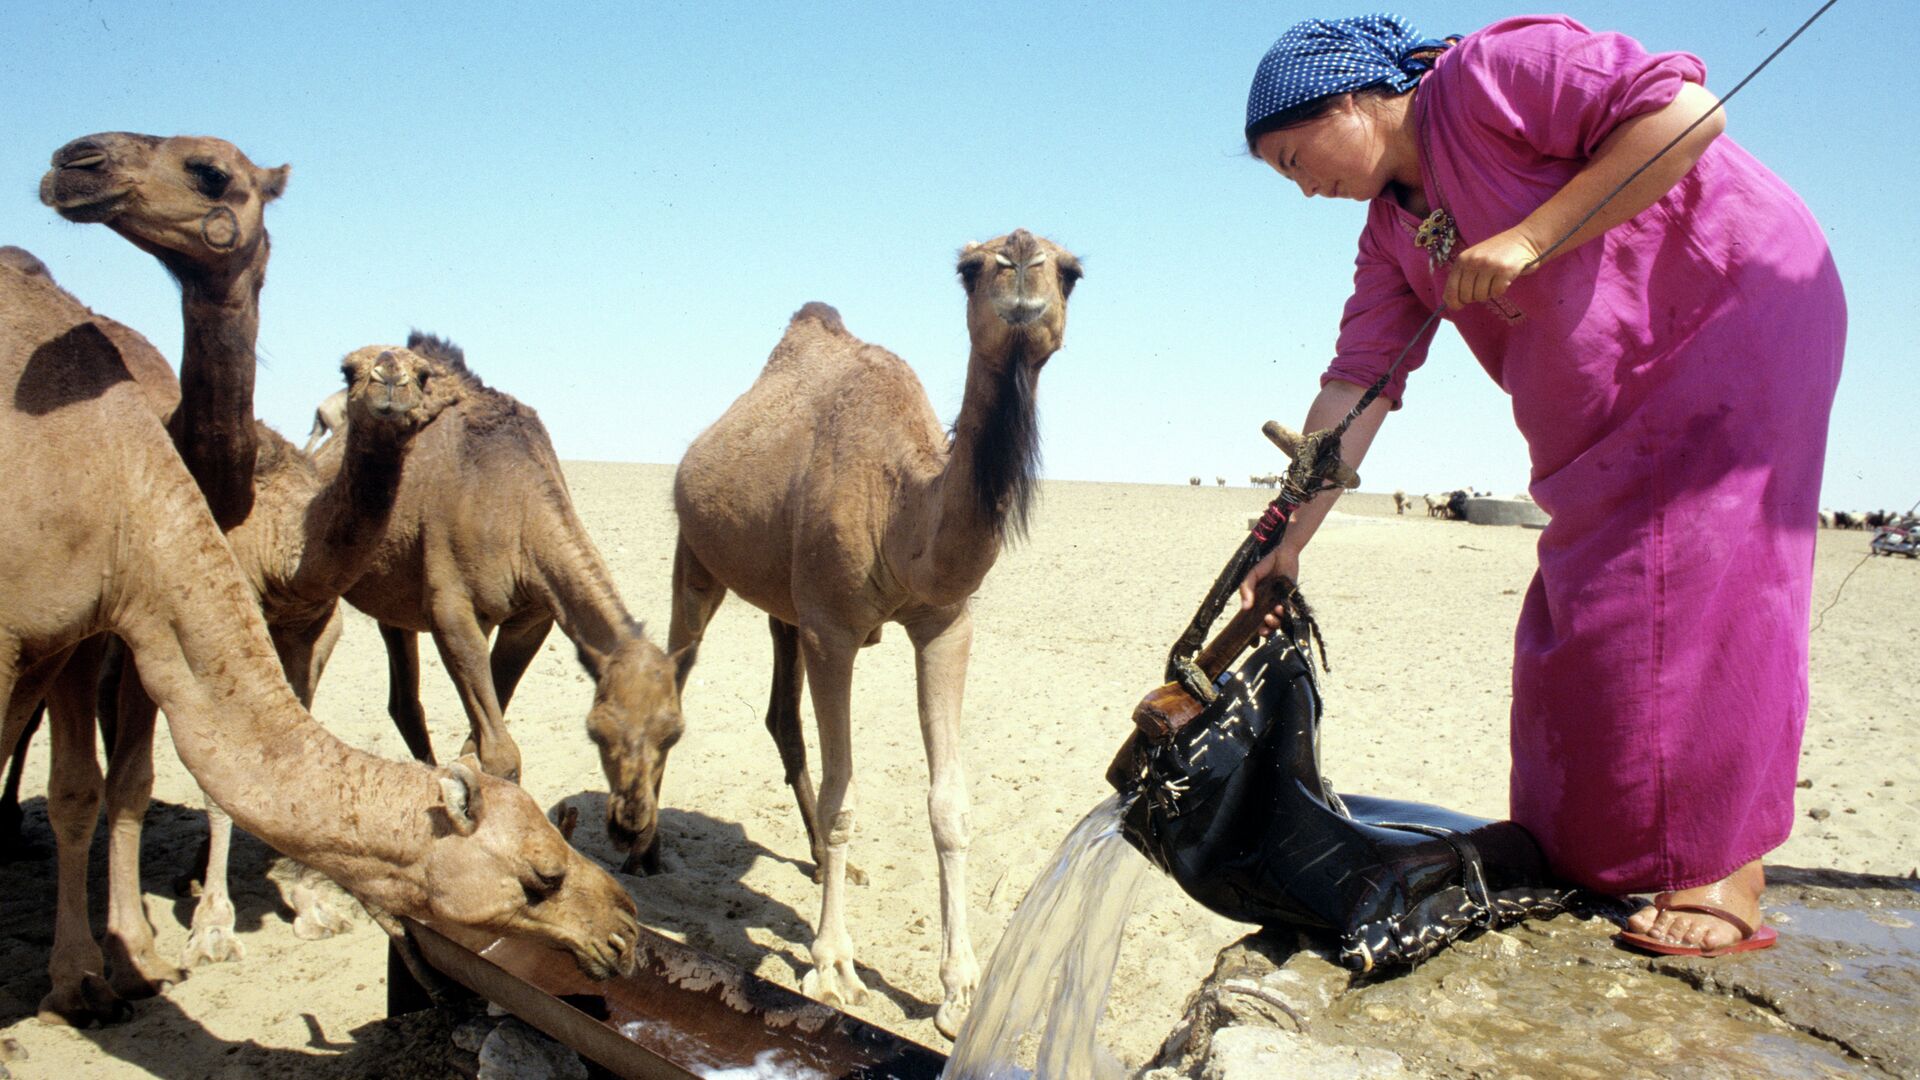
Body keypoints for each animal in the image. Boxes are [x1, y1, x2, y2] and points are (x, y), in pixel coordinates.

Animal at [0, 253, 645, 1022]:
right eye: (541, 876)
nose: (627, 920)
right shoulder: (449, 604)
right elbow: (495, 748)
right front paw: (206, 930)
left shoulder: (517, 615)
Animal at [341, 330, 687, 864]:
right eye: (594, 730)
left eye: (674, 733)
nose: (630, 825)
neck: (513, 504)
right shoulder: (453, 612)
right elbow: (500, 751)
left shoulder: (531, 617)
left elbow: (477, 743)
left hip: (393, 605)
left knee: (404, 701)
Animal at [668, 226, 1082, 1037]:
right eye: (970, 268)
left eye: (1072, 271)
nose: (1021, 256)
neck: (901, 511)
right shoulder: (834, 628)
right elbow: (844, 796)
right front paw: (833, 967)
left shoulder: (944, 625)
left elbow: (949, 806)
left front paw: (959, 990)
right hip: (695, 556)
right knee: (666, 675)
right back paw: (636, 842)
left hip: (783, 606)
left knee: (780, 714)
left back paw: (816, 861)